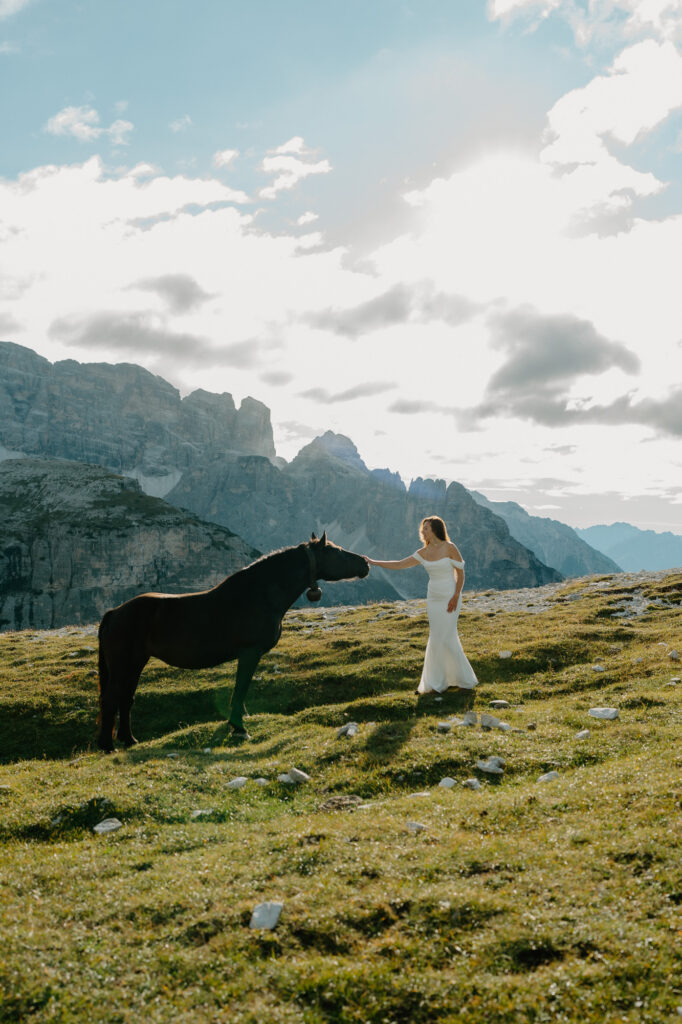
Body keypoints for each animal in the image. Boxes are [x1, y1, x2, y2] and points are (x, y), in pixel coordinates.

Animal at [96, 536, 366, 753]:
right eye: (337, 551)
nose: (364, 563)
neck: (260, 595)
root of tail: (114, 613)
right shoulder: (249, 653)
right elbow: (241, 688)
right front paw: (239, 728)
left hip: (135, 663)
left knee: (126, 699)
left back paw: (129, 740)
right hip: (123, 664)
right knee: (111, 699)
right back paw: (108, 746)